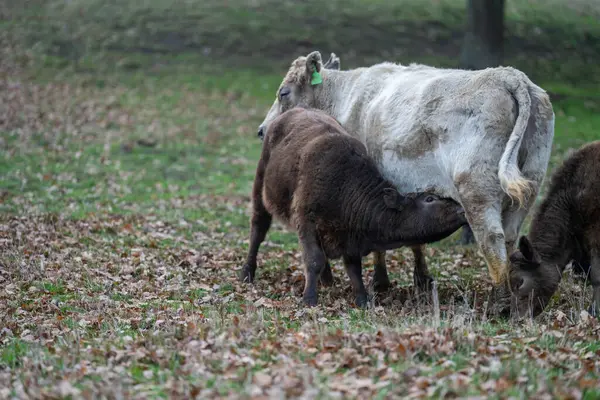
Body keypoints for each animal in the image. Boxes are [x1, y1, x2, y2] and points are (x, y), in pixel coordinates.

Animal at [255, 50, 556, 288]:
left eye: (283, 93)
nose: (262, 130)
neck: (346, 99)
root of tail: (508, 75)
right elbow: (416, 236)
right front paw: (421, 279)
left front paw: (380, 281)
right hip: (529, 185)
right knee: (510, 237)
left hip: (477, 189)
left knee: (492, 241)